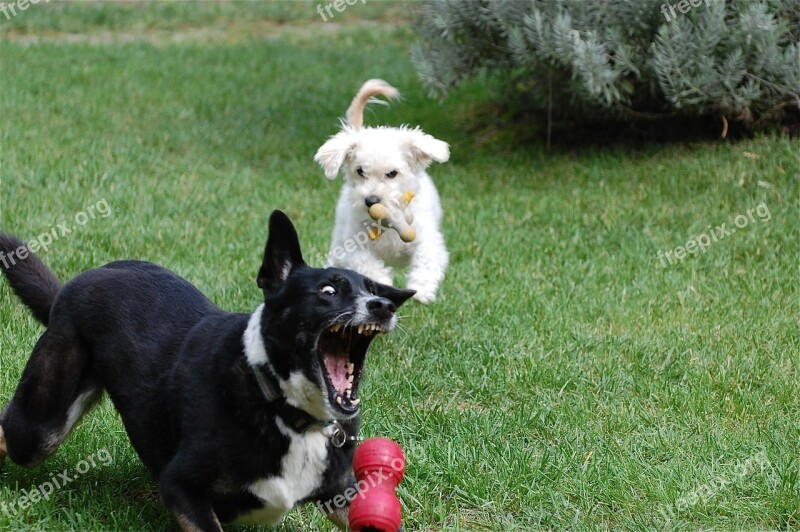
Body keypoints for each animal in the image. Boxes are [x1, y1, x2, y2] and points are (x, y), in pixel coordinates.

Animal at [0, 212, 412, 532]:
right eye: (328, 291)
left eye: (373, 290)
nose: (384, 306)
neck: (283, 410)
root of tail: (69, 288)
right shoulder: (181, 487)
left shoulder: (340, 494)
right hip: (39, 430)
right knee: (12, 433)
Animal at [314, 79, 450, 304]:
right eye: (360, 171)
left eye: (392, 173)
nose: (371, 200)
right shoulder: (355, 247)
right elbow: (368, 265)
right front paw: (380, 285)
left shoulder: (426, 238)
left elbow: (426, 259)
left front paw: (421, 290)